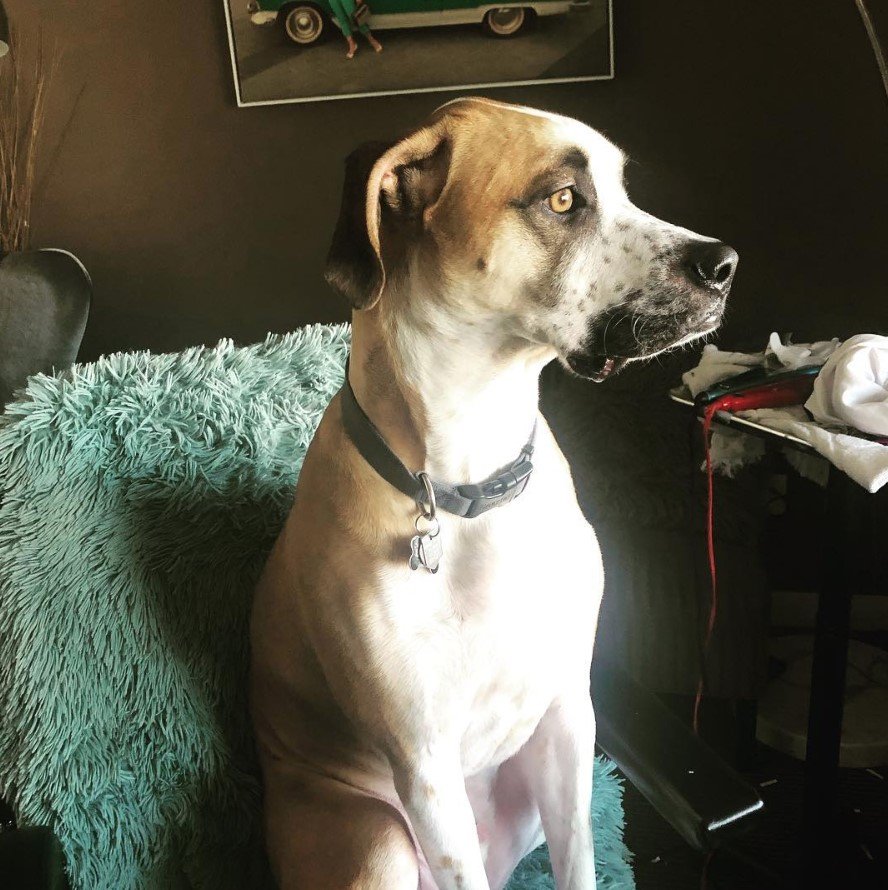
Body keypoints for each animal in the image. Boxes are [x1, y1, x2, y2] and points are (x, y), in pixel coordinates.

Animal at [250, 93, 736, 884]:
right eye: (563, 199)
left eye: (624, 188)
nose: (725, 263)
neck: (472, 480)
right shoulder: (424, 764)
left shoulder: (568, 713)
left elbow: (581, 862)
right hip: (379, 842)